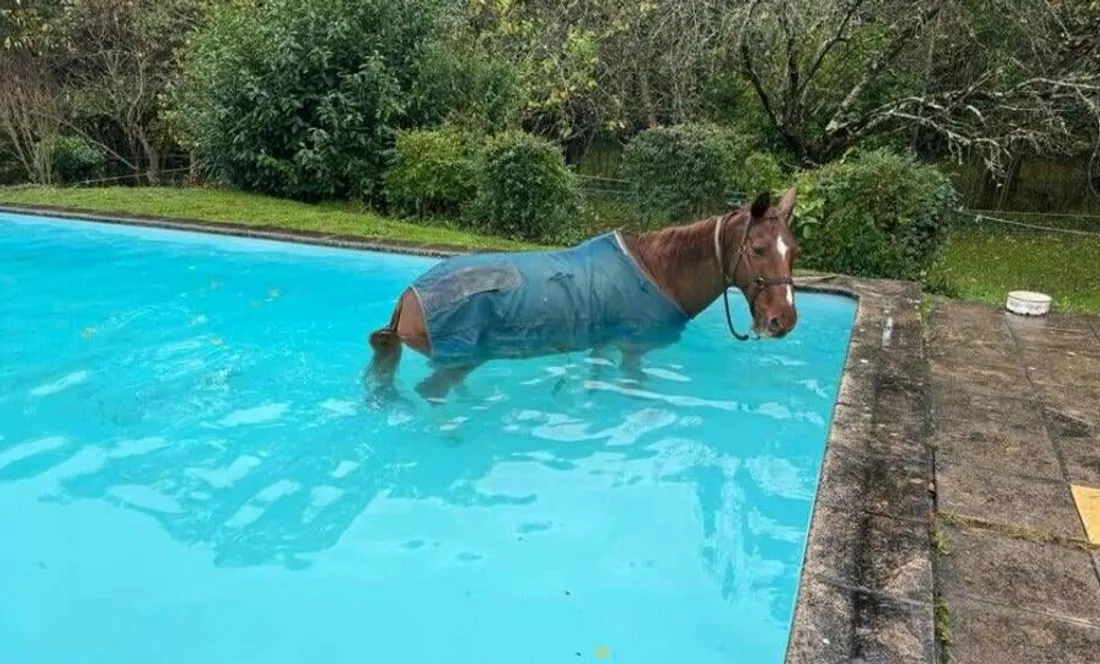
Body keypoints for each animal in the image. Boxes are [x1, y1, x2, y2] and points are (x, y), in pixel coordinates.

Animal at [365, 187, 800, 403]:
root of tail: (407, 299)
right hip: (458, 359)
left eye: (793, 250)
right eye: (758, 249)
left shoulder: (602, 345)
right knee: (432, 392)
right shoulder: (632, 350)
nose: (783, 320)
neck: (657, 272)